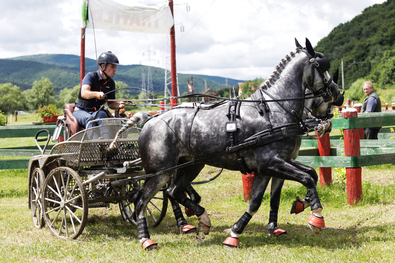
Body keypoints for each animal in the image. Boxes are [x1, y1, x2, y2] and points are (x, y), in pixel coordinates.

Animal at [126, 38, 340, 250]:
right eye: (322, 66)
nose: (338, 94)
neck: (276, 109)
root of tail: (151, 119)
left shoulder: (270, 166)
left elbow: (262, 200)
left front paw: (237, 232)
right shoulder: (271, 163)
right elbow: (307, 179)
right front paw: (316, 216)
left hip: (191, 165)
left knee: (173, 191)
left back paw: (202, 219)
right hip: (160, 172)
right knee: (141, 200)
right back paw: (146, 239)